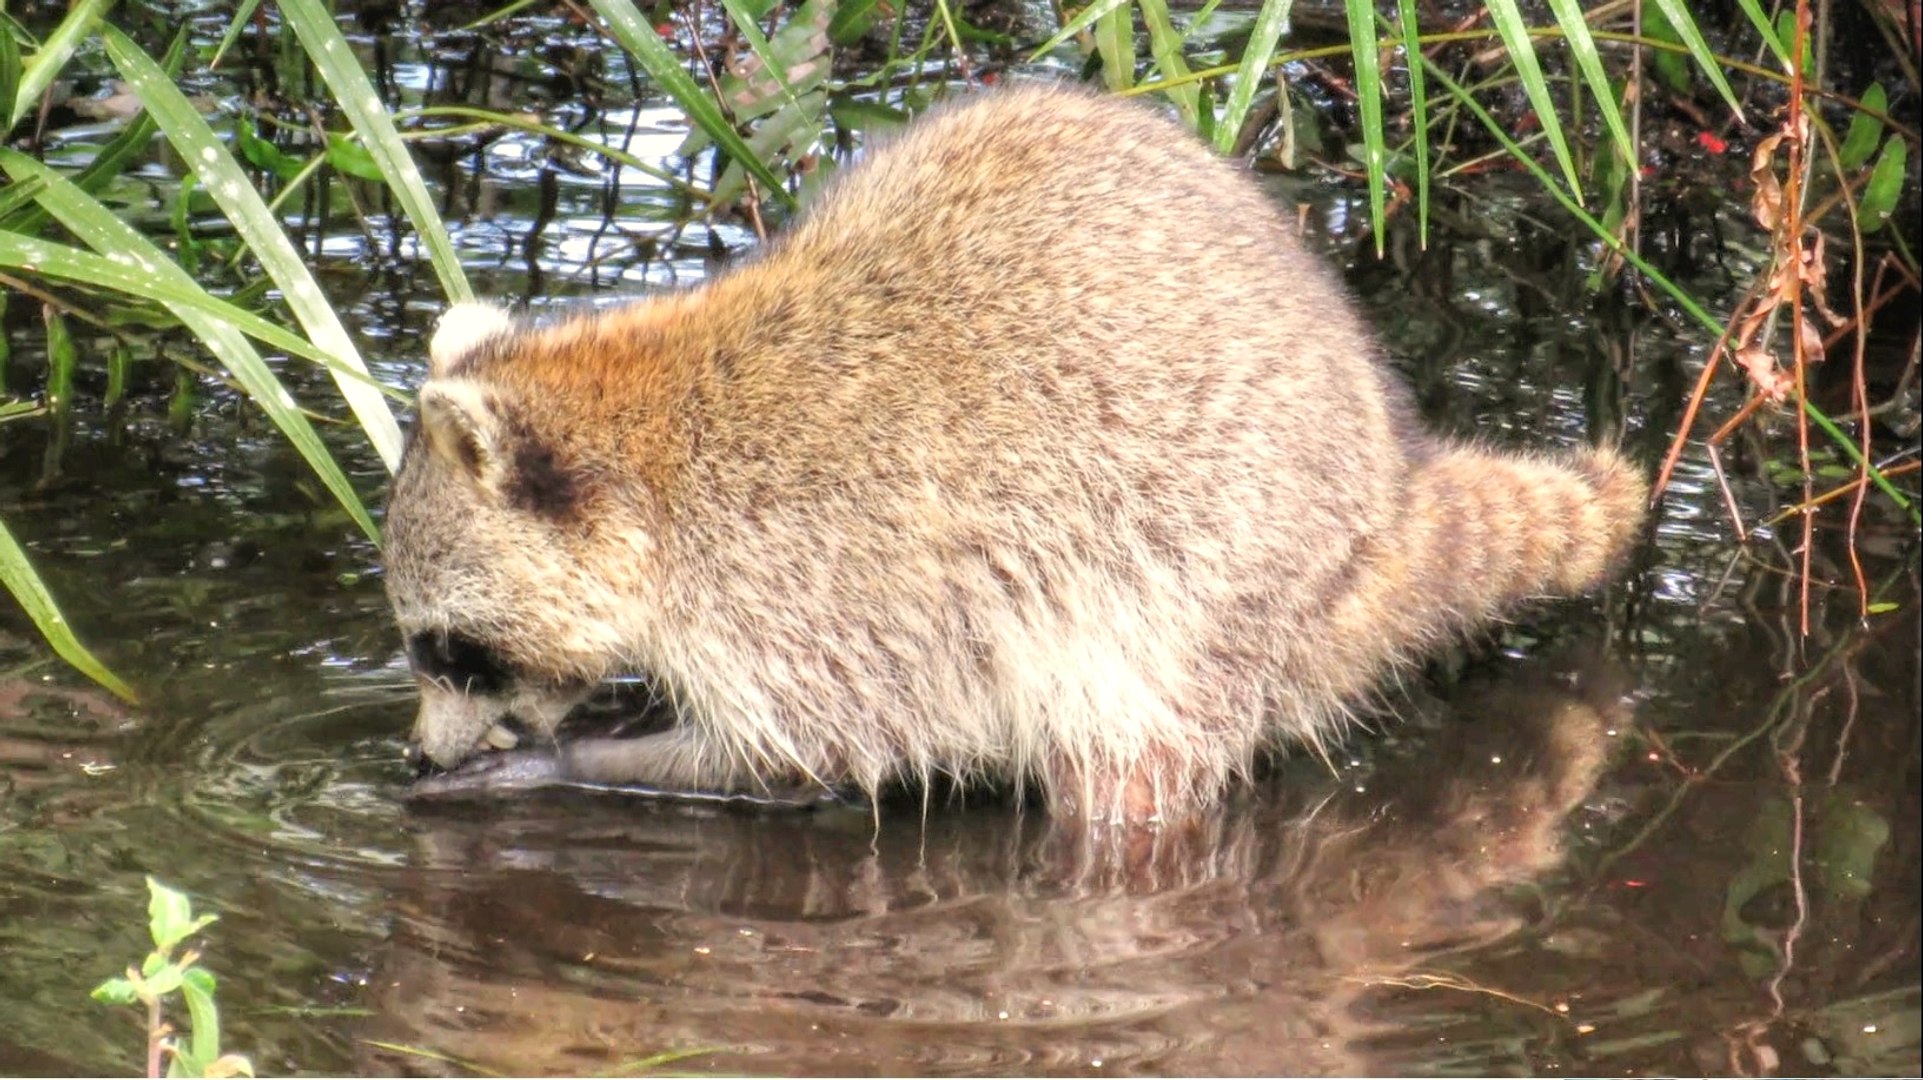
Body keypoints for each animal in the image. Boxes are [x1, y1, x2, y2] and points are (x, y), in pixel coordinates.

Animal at [378, 82, 1653, 822]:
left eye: (448, 650)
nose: (417, 754)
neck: (643, 446)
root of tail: (1385, 496)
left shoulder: (817, 587)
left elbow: (803, 759)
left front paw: (563, 761)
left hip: (1205, 596)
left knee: (1126, 778)